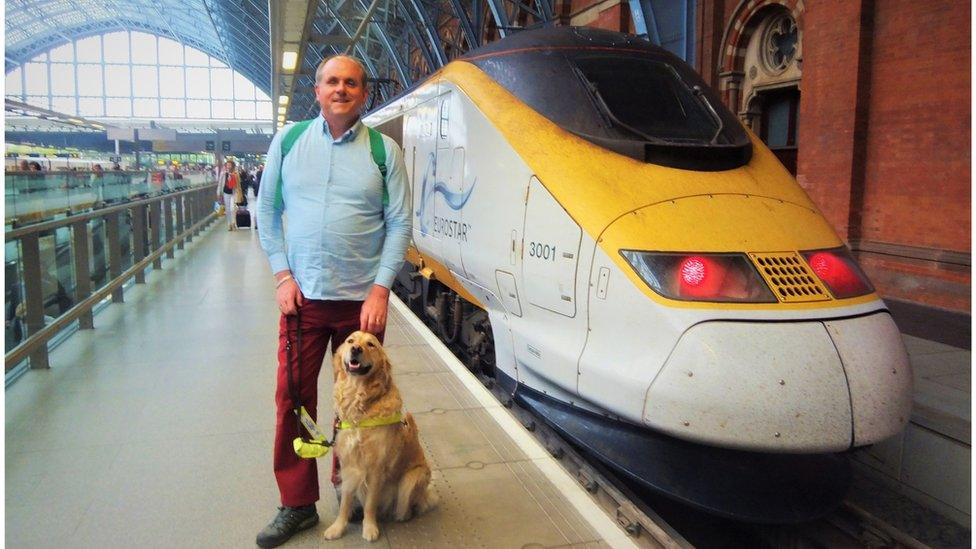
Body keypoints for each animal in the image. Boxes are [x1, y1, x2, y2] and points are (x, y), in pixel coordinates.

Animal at [324, 330, 438, 540]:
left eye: (371, 344)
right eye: (350, 341)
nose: (356, 349)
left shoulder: (376, 467)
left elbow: (370, 503)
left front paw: (369, 528)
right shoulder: (349, 464)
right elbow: (345, 500)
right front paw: (338, 527)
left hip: (410, 479)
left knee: (410, 506)